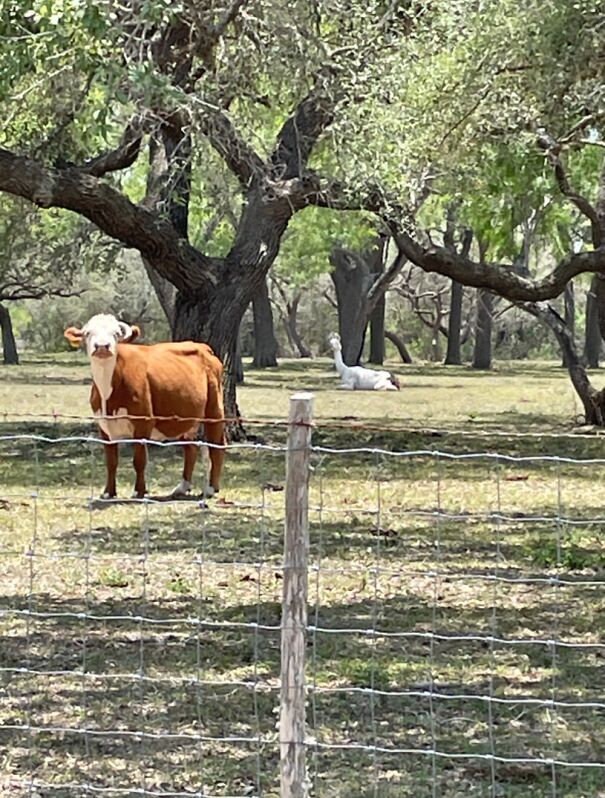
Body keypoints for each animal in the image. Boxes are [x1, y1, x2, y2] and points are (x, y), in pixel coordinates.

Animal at [64, 313, 225, 500]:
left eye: (116, 333)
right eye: (88, 333)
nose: (102, 346)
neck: (107, 392)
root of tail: (202, 346)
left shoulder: (143, 422)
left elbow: (139, 459)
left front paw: (139, 491)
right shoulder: (104, 426)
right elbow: (111, 461)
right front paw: (108, 492)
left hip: (214, 409)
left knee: (217, 445)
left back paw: (212, 488)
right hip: (186, 416)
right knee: (190, 448)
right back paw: (182, 487)